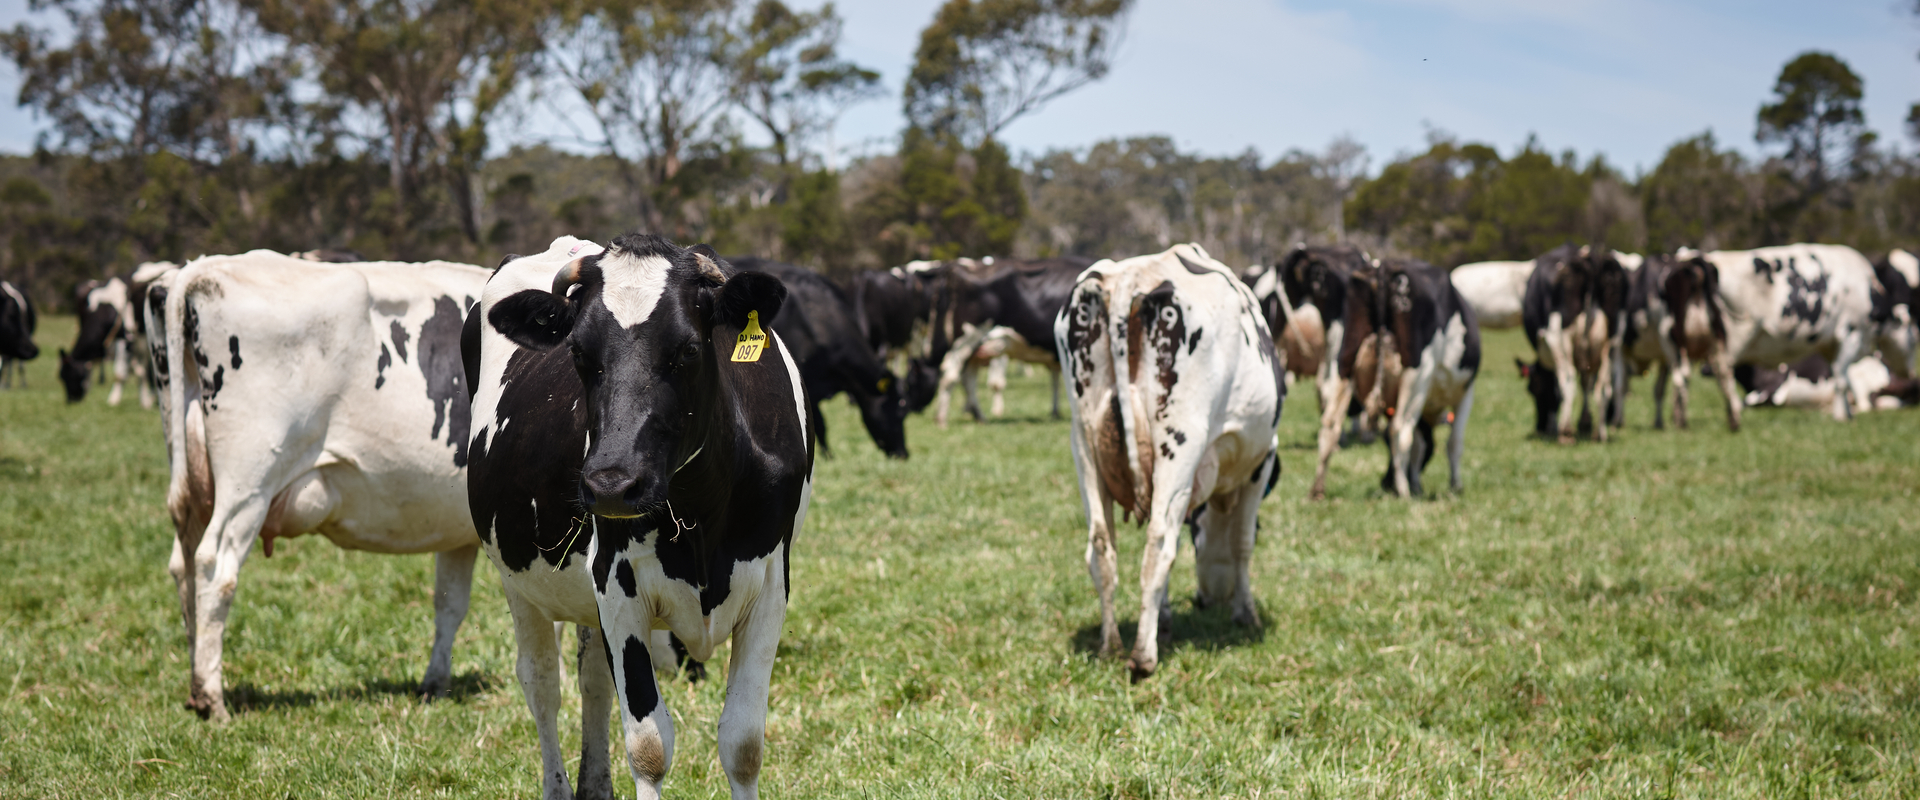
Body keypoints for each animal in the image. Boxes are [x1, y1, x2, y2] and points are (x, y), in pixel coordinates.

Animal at [146, 251, 488, 723]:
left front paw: (434, 684)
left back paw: (198, 682)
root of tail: (205, 267)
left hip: (196, 480)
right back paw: (212, 699)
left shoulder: (459, 530)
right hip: (249, 483)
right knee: (216, 567)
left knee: (185, 567)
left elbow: (449, 603)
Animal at [468, 234, 812, 800]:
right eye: (578, 353)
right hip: (518, 579)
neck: (699, 510)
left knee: (591, 684)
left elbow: (743, 743)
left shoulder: (770, 584)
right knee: (542, 685)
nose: (611, 484)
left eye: (688, 349)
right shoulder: (615, 582)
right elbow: (649, 747)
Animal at [1057, 243, 1283, 681]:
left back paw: (1111, 646)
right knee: (1158, 544)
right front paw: (1245, 613)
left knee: (1101, 546)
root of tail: (1130, 277)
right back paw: (1143, 657)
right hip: (1180, 442)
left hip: (1083, 443)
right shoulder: (1260, 461)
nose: (1204, 599)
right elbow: (1242, 543)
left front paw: (1163, 618)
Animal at [1309, 257, 1480, 499]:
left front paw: (1413, 482)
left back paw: (1317, 490)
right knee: (1400, 429)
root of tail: (1383, 267)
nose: (1384, 482)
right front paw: (1454, 486)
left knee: (1330, 425)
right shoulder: (1466, 392)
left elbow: (1417, 445)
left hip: (1345, 362)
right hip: (1417, 374)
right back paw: (1404, 491)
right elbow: (1452, 443)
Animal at [1521, 245, 1629, 443]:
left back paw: (1565, 433)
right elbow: (1586, 383)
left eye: (1534, 390)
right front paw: (1585, 424)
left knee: (1569, 380)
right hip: (1613, 342)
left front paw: (1557, 427)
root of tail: (1592, 258)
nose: (1540, 427)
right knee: (1603, 386)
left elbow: (1559, 391)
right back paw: (1599, 433)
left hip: (1560, 339)